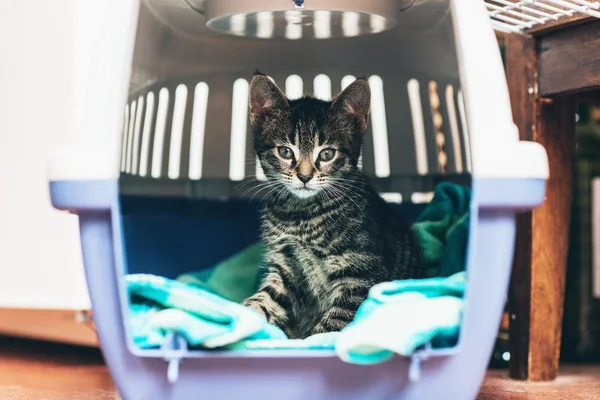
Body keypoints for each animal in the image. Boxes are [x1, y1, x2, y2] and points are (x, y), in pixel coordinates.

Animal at [241, 72, 420, 340]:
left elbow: (333, 325)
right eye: (285, 151)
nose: (304, 176)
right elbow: (267, 298)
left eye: (326, 154)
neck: (301, 215)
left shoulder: (361, 275)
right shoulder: (286, 268)